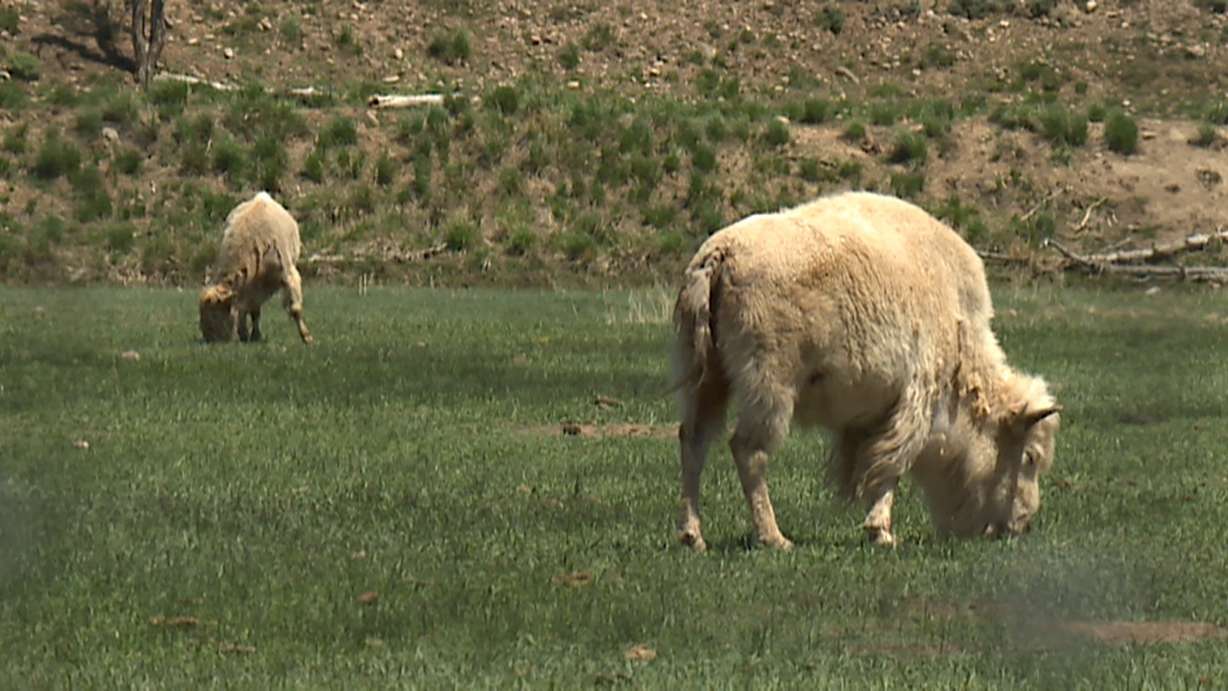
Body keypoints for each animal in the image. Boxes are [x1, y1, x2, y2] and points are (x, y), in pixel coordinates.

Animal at [672, 191, 1060, 551]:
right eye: (1029, 457)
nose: (1021, 525)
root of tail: (720, 252)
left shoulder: (872, 414)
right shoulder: (915, 400)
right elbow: (892, 465)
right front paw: (882, 533)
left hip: (709, 380)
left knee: (694, 439)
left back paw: (694, 537)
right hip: (770, 389)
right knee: (748, 450)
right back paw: (774, 538)